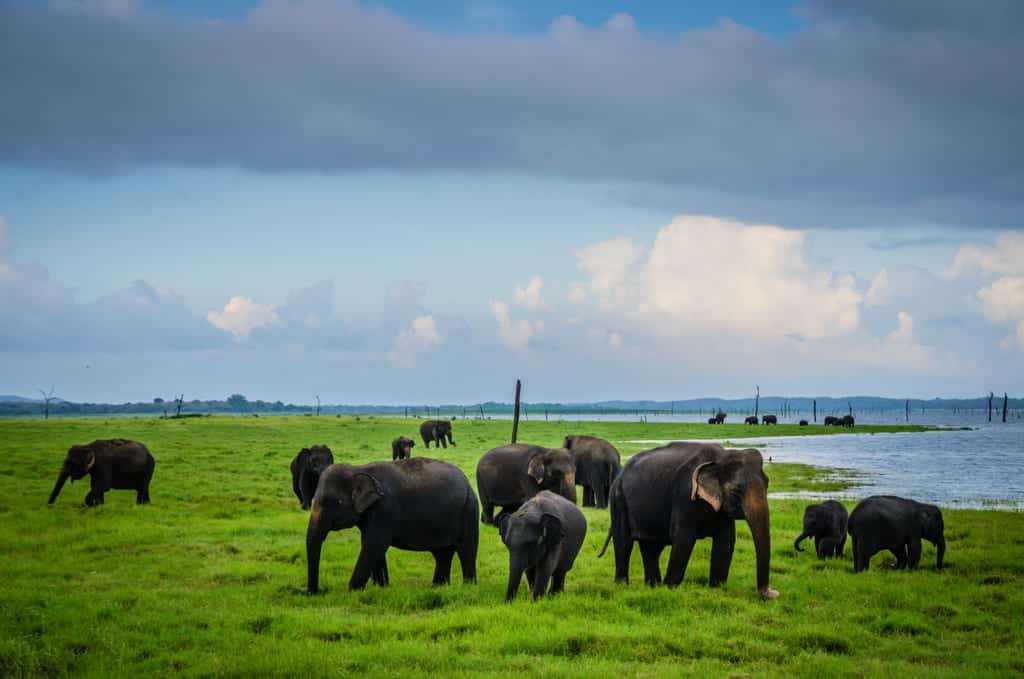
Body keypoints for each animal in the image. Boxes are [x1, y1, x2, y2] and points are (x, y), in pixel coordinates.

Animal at [303, 456, 479, 593]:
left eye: (334, 503)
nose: (316, 592)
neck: (358, 469)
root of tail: (467, 481)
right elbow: (372, 545)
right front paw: (381, 588)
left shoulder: (385, 508)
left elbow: (373, 544)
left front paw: (352, 591)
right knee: (442, 553)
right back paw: (438, 587)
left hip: (468, 510)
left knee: (466, 549)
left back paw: (467, 587)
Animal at [598, 440, 774, 602]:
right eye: (736, 490)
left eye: (767, 485)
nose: (772, 593)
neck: (721, 457)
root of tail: (620, 474)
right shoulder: (685, 497)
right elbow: (683, 539)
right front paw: (669, 589)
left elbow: (726, 541)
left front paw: (717, 589)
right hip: (618, 500)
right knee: (624, 544)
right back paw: (622, 586)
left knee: (652, 548)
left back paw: (652, 587)